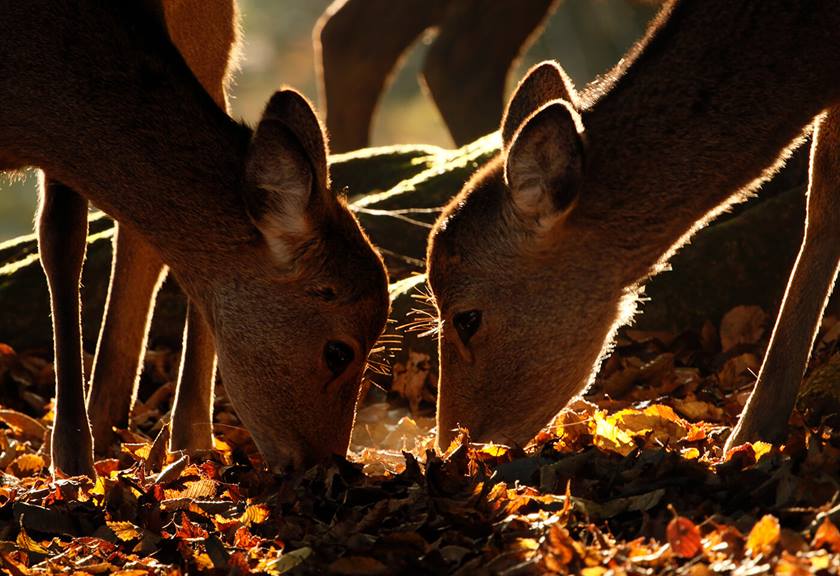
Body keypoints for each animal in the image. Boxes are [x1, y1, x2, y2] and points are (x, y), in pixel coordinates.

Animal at [0, 0, 388, 476]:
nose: (329, 464)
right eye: (338, 352)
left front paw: (73, 458)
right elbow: (62, 241)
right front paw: (73, 459)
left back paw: (182, 440)